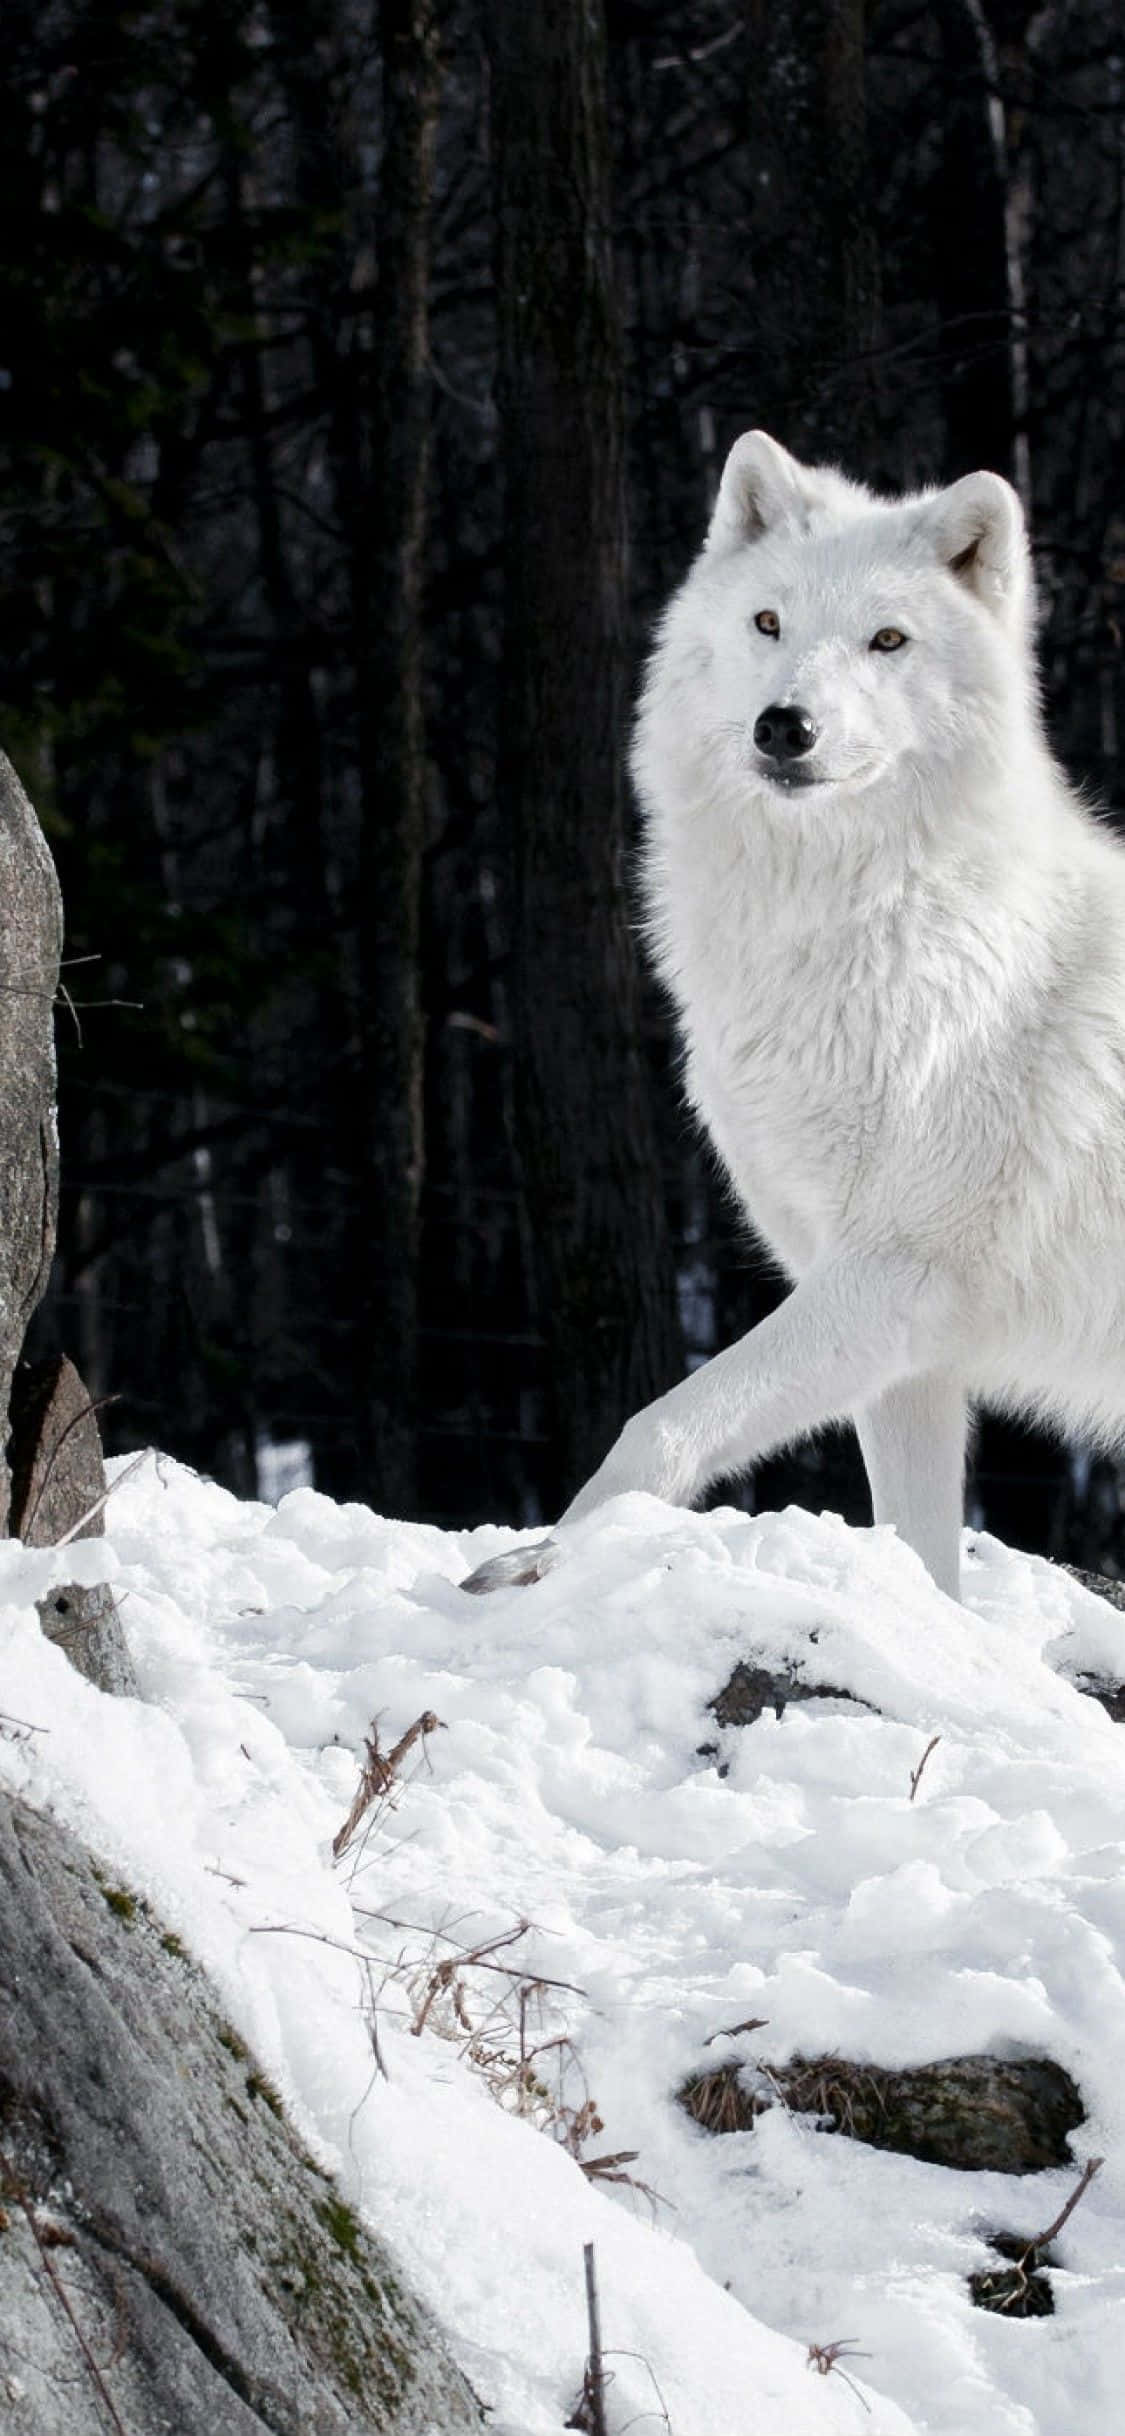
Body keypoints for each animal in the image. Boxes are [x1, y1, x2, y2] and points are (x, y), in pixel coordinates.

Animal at [466, 432, 1125, 1604]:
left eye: (887, 640)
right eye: (769, 623)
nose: (785, 726)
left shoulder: (886, 1278)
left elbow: (656, 1427)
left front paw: (547, 1559)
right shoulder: (899, 1344)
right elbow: (920, 1557)